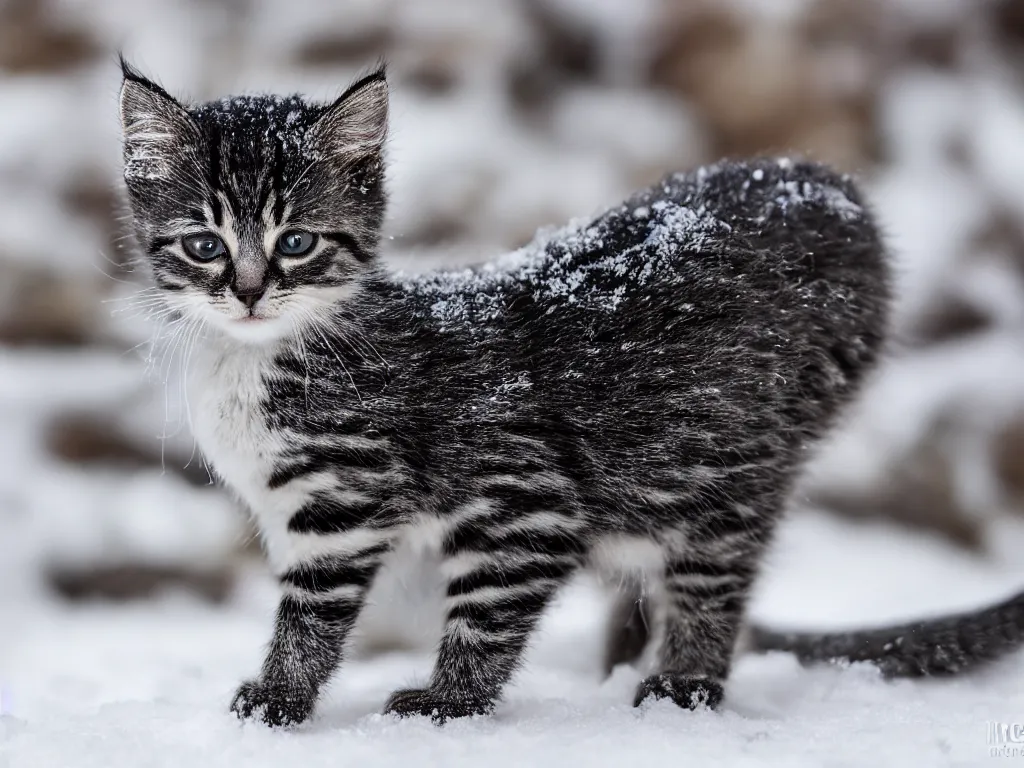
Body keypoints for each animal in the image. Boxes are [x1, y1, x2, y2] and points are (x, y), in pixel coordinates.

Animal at [114, 61, 1015, 729]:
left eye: (296, 242)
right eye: (204, 245)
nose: (248, 292)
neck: (255, 359)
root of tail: (818, 182)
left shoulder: (512, 496)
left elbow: (441, 611)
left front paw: (416, 702)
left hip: (733, 454)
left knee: (713, 577)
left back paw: (681, 685)